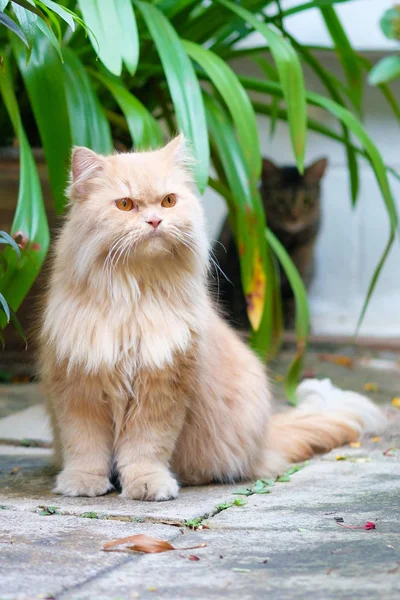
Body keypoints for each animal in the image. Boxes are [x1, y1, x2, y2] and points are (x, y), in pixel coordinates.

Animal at [216, 157, 328, 330]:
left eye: (306, 201)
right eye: (280, 200)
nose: (294, 217)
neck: (286, 242)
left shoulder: (301, 269)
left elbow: (293, 299)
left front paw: (294, 323)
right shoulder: (239, 268)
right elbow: (243, 300)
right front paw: (248, 325)